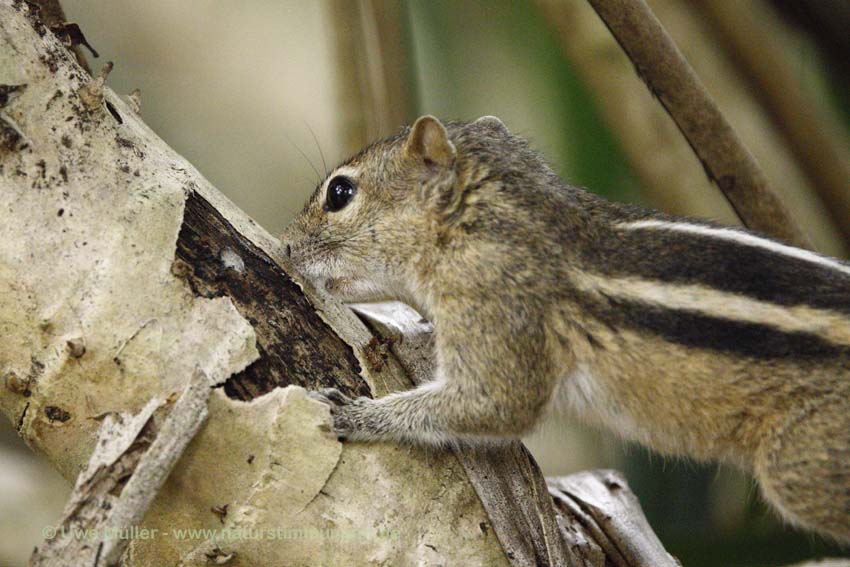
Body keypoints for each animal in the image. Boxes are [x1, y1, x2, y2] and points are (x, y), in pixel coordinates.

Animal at [284, 114, 848, 540]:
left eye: (340, 192)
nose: (287, 246)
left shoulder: (500, 312)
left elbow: (496, 404)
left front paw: (355, 414)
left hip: (799, 463)